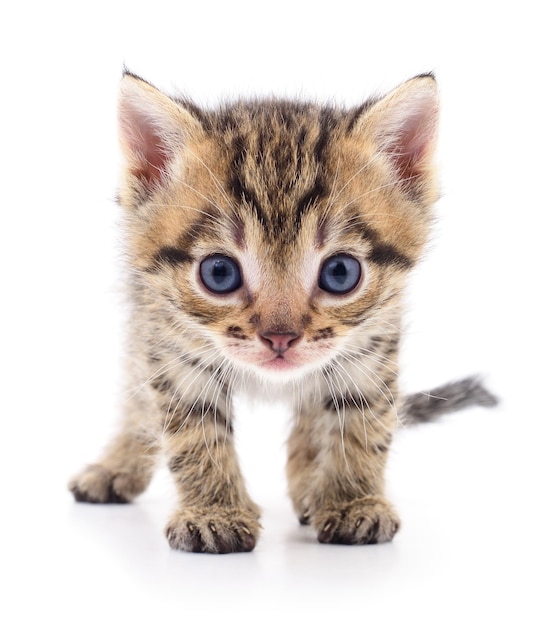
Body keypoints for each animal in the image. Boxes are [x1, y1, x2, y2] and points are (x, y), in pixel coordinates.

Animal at [69, 72, 496, 552]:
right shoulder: (172, 343)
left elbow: (361, 421)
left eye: (340, 272)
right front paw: (215, 511)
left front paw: (352, 500)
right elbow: (192, 430)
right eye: (219, 272)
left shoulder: (370, 346)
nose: (280, 337)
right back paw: (117, 466)